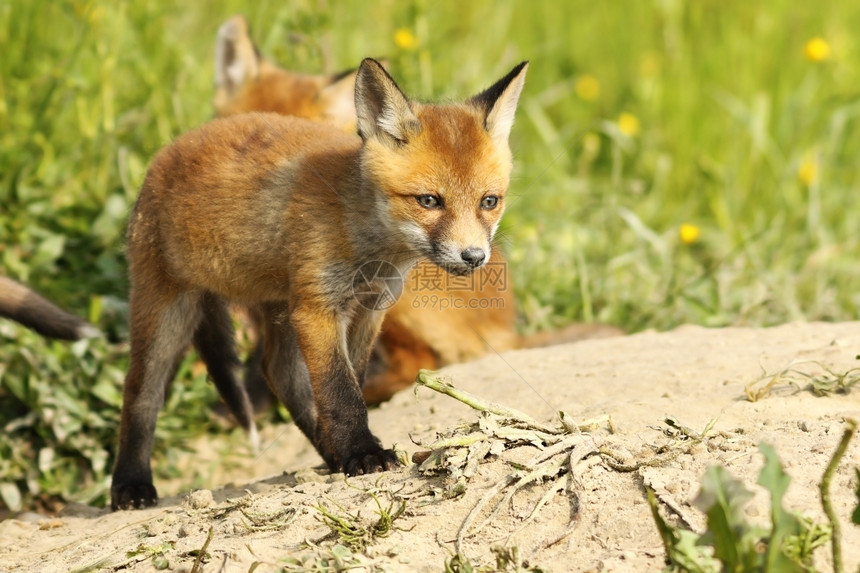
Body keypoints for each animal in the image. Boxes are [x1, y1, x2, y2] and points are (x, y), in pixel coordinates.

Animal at [112, 55, 532, 508]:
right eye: (429, 201)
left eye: (489, 201)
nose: (473, 257)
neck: (365, 238)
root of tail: (170, 147)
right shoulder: (319, 308)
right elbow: (340, 390)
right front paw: (362, 453)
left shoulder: (368, 310)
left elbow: (350, 383)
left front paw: (349, 451)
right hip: (167, 312)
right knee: (140, 393)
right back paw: (130, 485)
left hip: (279, 305)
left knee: (279, 372)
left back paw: (328, 452)